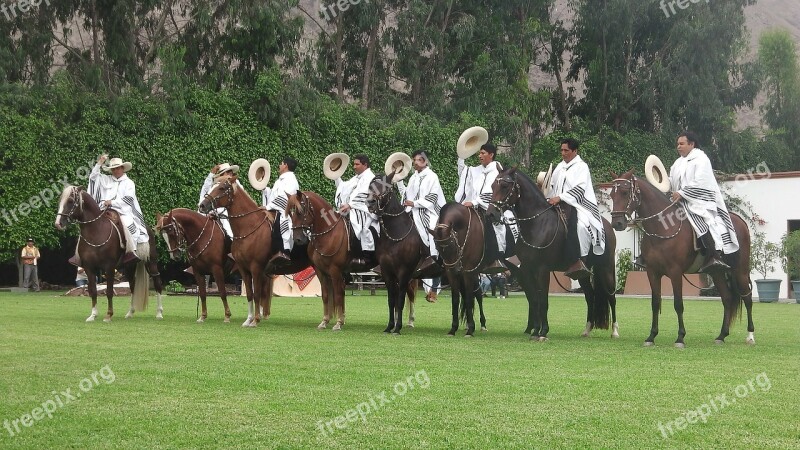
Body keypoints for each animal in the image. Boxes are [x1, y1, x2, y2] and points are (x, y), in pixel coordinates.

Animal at [54, 185, 164, 322]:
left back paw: (159, 313)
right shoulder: (89, 268)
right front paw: (93, 315)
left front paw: (109, 315)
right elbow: (93, 290)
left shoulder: (109, 267)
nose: (58, 223)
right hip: (130, 266)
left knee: (158, 283)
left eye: (70, 201)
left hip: (151, 262)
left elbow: (109, 291)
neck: (96, 231)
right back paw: (130, 312)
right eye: (60, 201)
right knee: (132, 286)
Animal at [290, 190, 424, 330]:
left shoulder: (335, 271)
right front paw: (325, 321)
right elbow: (326, 295)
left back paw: (410, 321)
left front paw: (338, 323)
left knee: (410, 293)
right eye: (290, 212)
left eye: (300, 211)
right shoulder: (321, 272)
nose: (298, 239)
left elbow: (338, 295)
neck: (329, 234)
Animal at [432, 202, 488, 336]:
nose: (456, 269)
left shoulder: (469, 272)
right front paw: (453, 328)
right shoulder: (452, 275)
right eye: (437, 247)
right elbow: (456, 299)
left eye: (452, 243)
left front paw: (471, 329)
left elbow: (468, 298)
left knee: (477, 295)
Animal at [482, 168, 620, 342]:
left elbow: (543, 301)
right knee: (590, 296)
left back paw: (615, 331)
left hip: (606, 268)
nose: (491, 214)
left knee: (611, 296)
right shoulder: (527, 270)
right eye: (493, 185)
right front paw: (535, 331)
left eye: (505, 186)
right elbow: (535, 300)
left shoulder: (542, 270)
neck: (537, 224)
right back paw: (587, 330)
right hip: (582, 273)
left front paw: (543, 332)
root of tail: (606, 225)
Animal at [608, 171, 752, 346]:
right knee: (727, 298)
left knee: (747, 298)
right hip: (717, 272)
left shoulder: (675, 272)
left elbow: (678, 304)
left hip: (740, 271)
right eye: (611, 194)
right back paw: (721, 336)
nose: (617, 223)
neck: (663, 228)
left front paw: (680, 337)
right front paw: (651, 336)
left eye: (624, 192)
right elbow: (655, 303)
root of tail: (740, 221)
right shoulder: (652, 272)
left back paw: (750, 336)